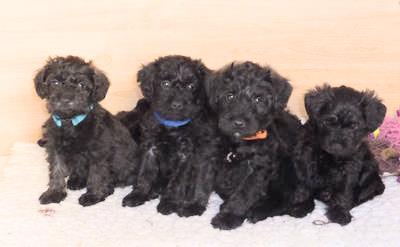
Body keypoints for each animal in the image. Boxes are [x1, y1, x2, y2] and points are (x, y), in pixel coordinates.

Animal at [34, 56, 138, 206]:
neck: (71, 121)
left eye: (81, 85)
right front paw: (54, 193)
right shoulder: (55, 149)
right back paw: (76, 181)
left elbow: (97, 175)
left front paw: (93, 195)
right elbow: (56, 170)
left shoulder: (98, 152)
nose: (66, 99)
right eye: (55, 82)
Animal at [206, 61, 316, 230]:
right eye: (229, 96)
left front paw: (228, 217)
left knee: (286, 199)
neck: (240, 142)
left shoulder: (259, 167)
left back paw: (258, 211)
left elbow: (244, 193)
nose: (238, 123)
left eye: (259, 99)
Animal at [296, 85, 386, 226]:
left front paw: (340, 212)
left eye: (354, 126)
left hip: (370, 166)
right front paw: (301, 205)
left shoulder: (350, 167)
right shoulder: (305, 158)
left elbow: (343, 192)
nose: (337, 145)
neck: (332, 156)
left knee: (367, 190)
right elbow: (303, 184)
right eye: (327, 122)